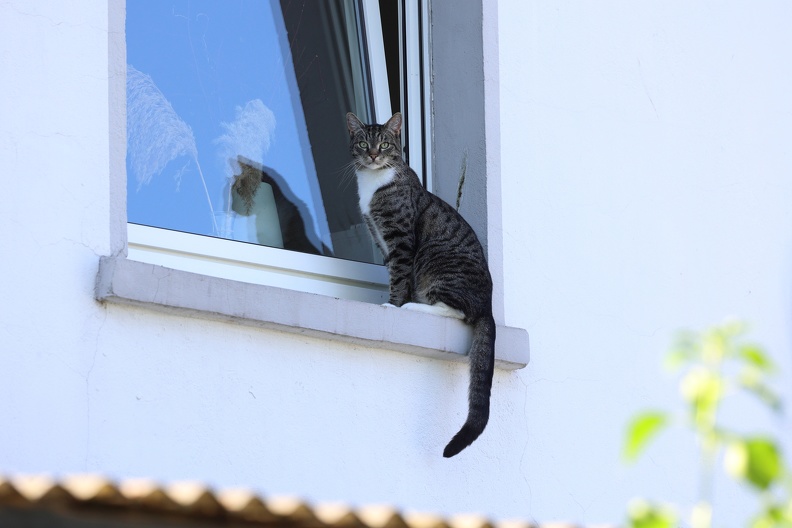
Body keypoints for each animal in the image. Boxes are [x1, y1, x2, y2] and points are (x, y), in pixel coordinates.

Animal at [346, 112, 496, 458]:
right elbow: (393, 273)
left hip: (434, 261)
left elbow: (399, 278)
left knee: (456, 311)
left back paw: (415, 307)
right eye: (362, 143)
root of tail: (489, 306)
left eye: (385, 144)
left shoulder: (401, 240)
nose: (372, 155)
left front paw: (393, 305)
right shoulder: (381, 241)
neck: (373, 184)